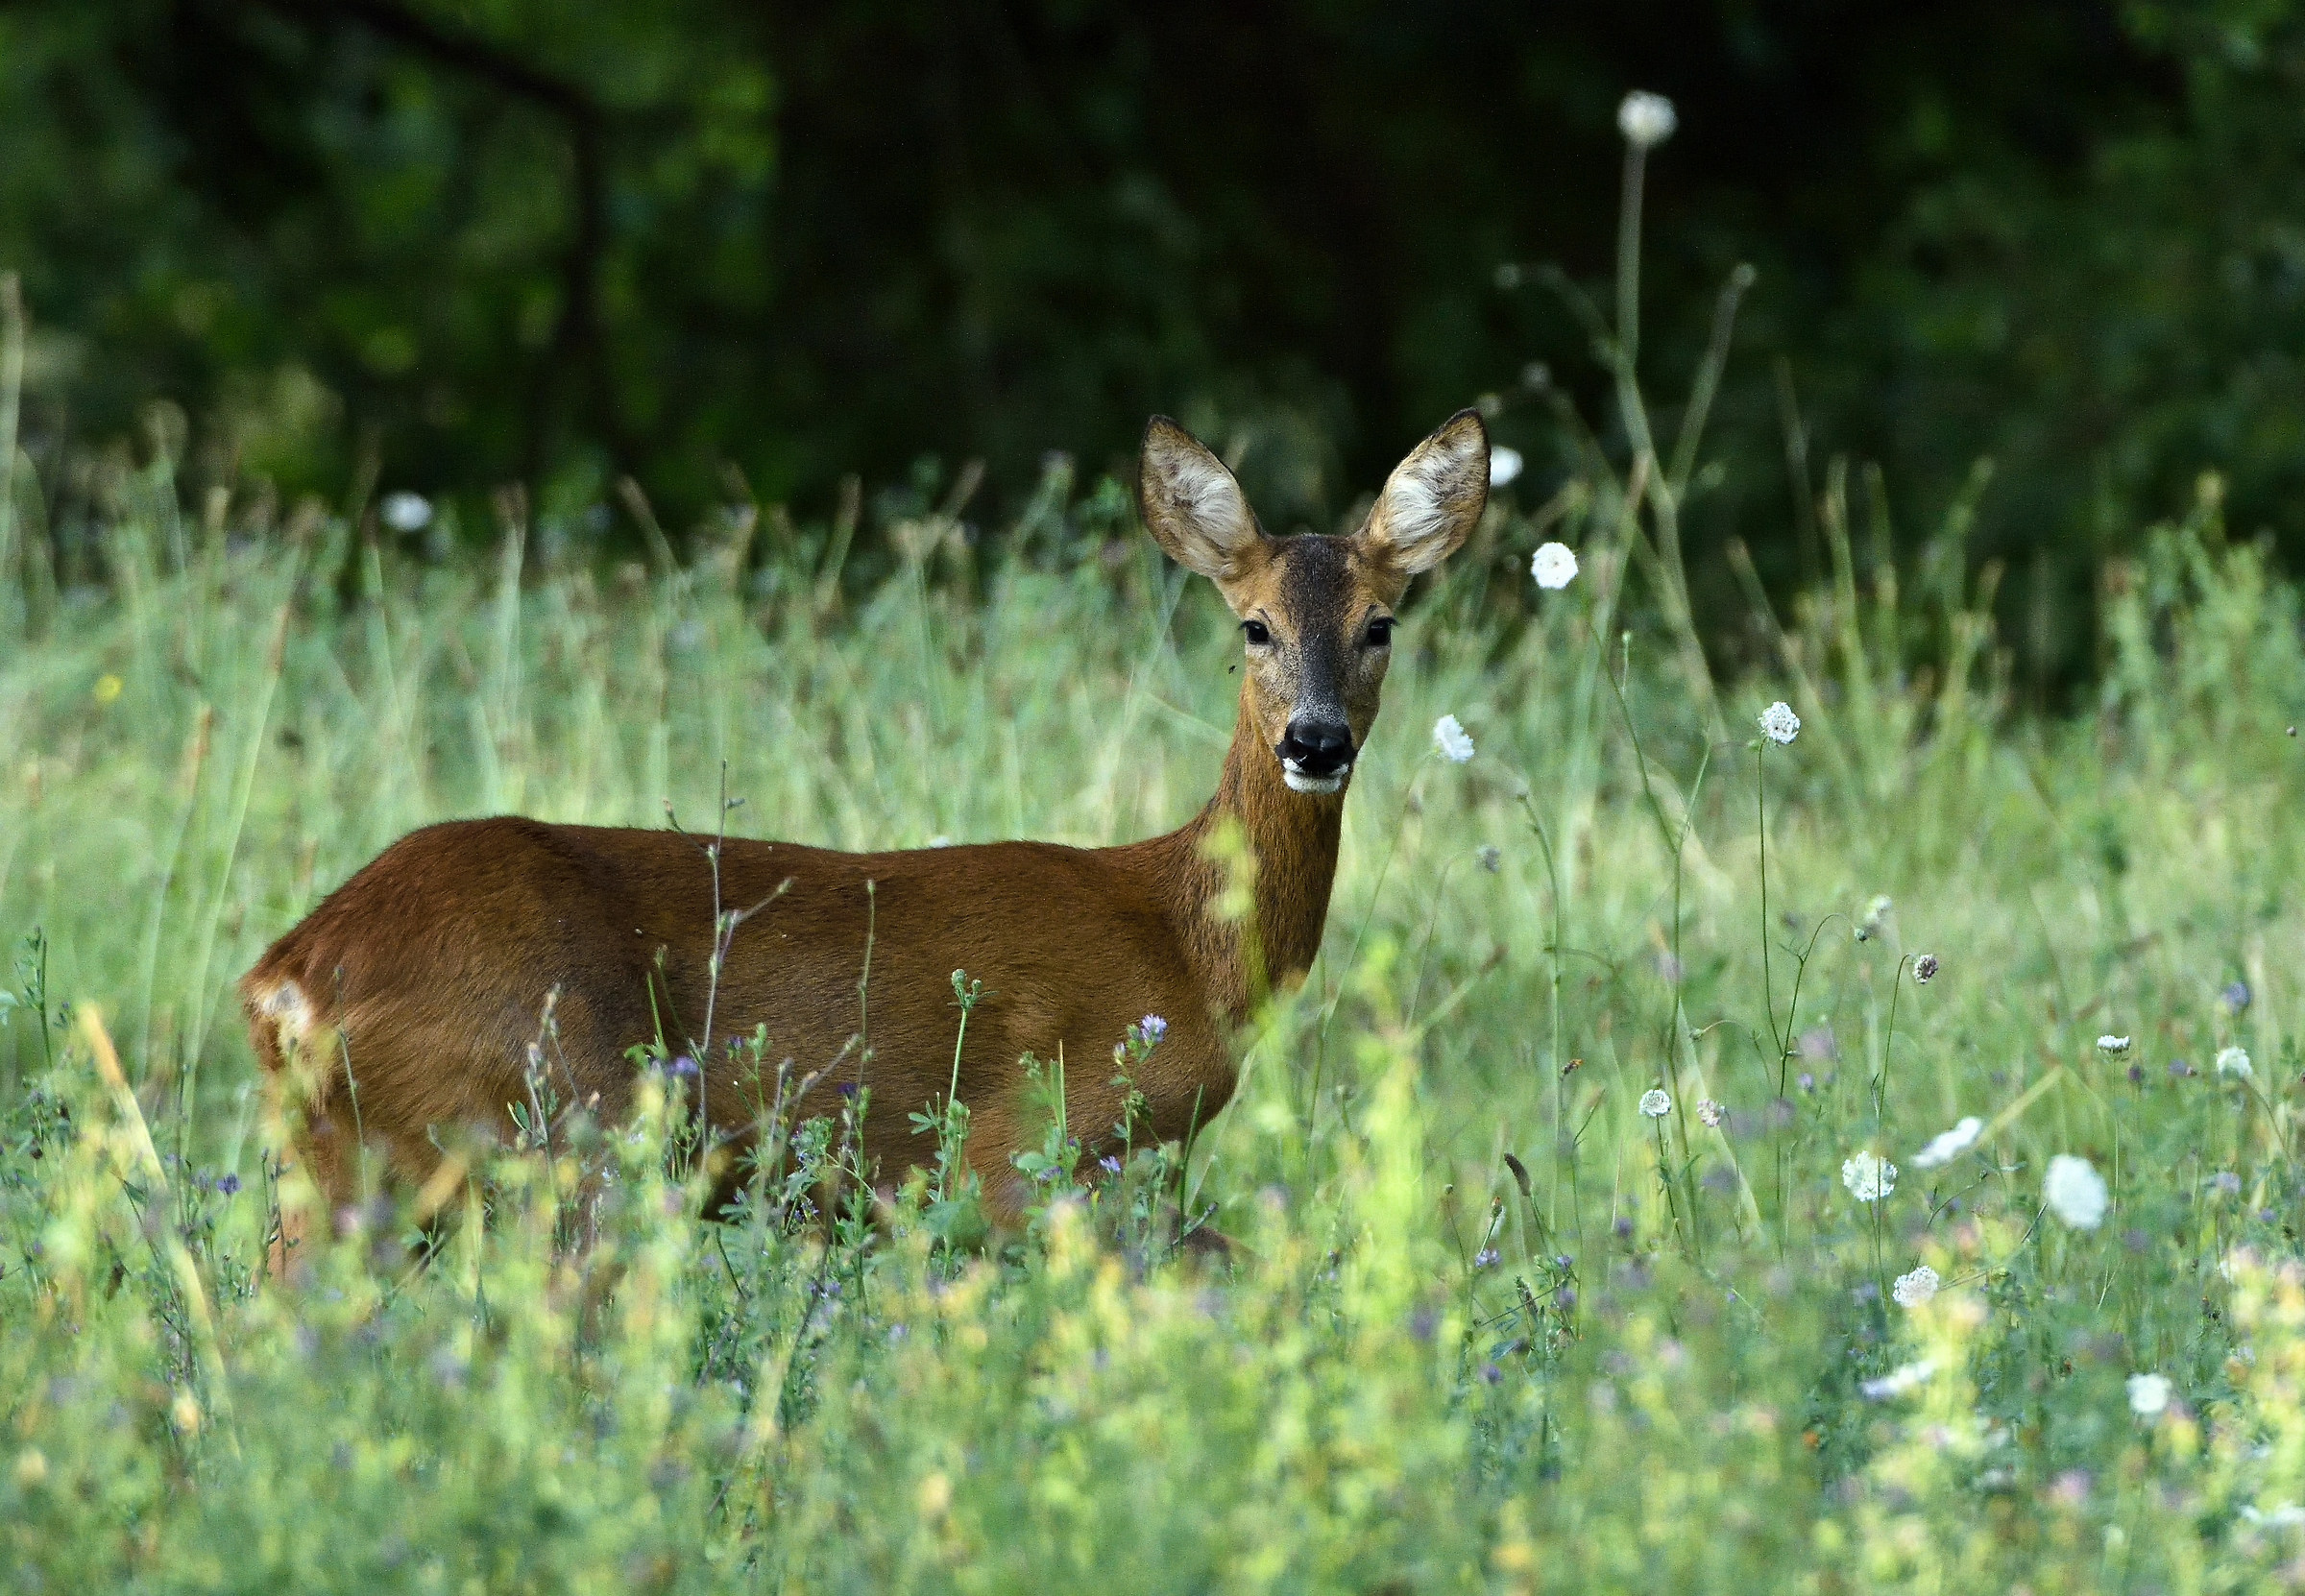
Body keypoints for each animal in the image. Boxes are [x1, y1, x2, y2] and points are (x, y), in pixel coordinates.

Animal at [241, 409, 1488, 1262]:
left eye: (1380, 625)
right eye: (1254, 626)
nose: (1317, 742)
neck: (1186, 942)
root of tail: (291, 977)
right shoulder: (1028, 1157)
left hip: (349, 1168)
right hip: (565, 1129)